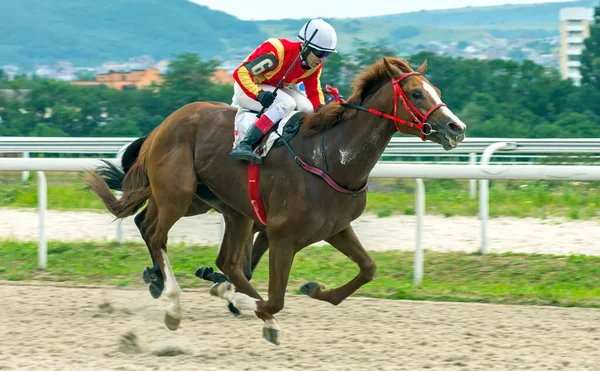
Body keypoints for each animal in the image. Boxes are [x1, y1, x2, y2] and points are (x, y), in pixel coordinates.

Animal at [86, 57, 466, 346]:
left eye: (437, 91)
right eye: (416, 93)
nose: (456, 128)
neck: (331, 158)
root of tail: (166, 123)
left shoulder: (335, 228)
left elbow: (368, 269)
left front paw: (313, 289)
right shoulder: (282, 234)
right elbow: (276, 298)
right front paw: (249, 304)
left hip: (218, 205)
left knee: (212, 253)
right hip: (177, 194)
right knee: (157, 235)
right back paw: (175, 303)